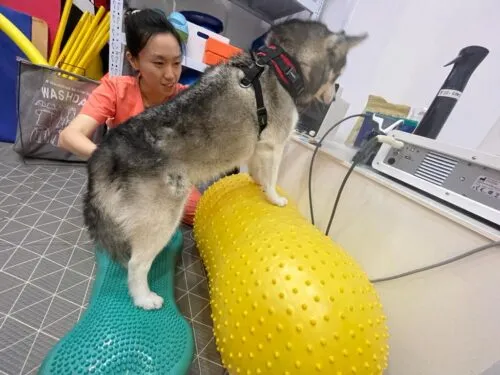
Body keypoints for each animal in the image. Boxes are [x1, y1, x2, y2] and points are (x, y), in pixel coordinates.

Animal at [84, 19, 368, 310]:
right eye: (339, 74)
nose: (333, 97)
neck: (282, 63)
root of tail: (105, 151)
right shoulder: (274, 145)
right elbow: (272, 178)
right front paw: (274, 198)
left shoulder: (259, 146)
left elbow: (257, 170)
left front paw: (256, 183)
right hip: (163, 217)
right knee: (137, 263)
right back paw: (143, 297)